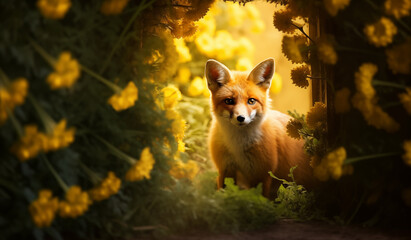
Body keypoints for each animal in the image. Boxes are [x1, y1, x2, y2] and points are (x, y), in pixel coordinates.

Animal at [206, 57, 316, 197]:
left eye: (251, 101)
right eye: (229, 101)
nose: (241, 118)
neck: (238, 145)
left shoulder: (263, 176)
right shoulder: (225, 171)